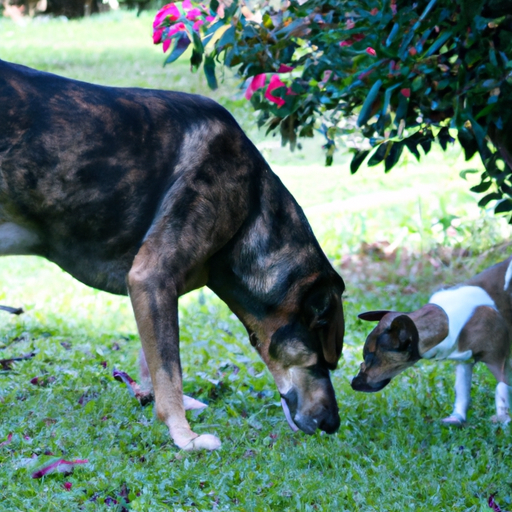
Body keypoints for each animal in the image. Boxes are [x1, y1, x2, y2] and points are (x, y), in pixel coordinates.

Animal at [1, 60, 344, 450]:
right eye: (323, 362)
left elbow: (155, 366)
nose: (333, 423)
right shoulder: (151, 278)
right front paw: (184, 436)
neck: (251, 208)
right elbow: (171, 372)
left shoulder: (150, 291)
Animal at [352, 255, 512, 424]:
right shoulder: (465, 362)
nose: (353, 382)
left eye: (371, 357)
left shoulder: (498, 361)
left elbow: (502, 388)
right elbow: (462, 391)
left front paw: (503, 419)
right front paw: (457, 418)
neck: (446, 318)